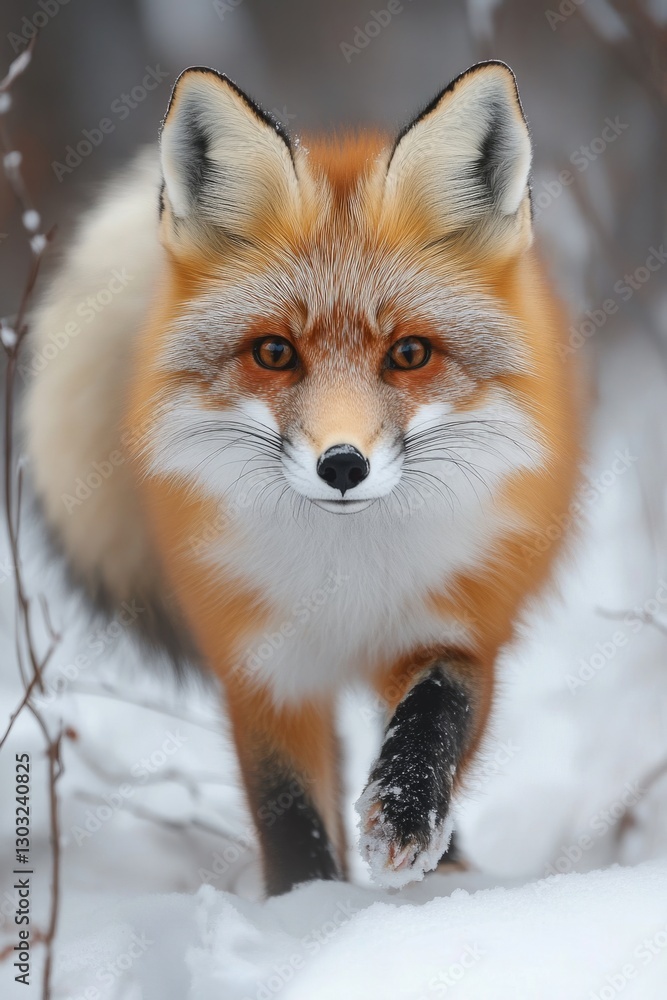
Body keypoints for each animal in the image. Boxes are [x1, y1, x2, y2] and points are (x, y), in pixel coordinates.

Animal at [23, 61, 579, 895]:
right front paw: (306, 909)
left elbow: (435, 718)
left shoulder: (458, 622)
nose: (342, 465)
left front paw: (405, 817)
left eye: (408, 354)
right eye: (274, 353)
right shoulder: (260, 665)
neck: (343, 576)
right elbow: (287, 813)